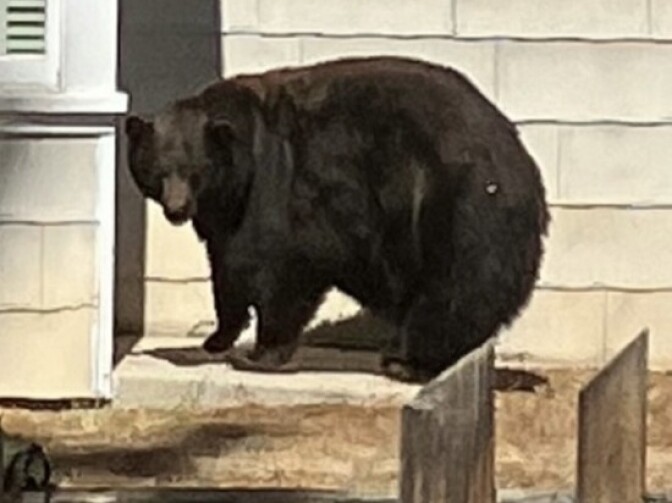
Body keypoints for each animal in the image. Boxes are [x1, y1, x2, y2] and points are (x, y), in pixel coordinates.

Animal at [125, 56, 550, 383]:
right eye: (158, 170)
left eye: (195, 170)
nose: (177, 209)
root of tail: (521, 161)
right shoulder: (225, 215)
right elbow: (228, 269)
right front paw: (216, 338)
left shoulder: (285, 187)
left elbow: (284, 267)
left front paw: (259, 353)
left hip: (454, 206)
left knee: (454, 287)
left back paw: (408, 361)